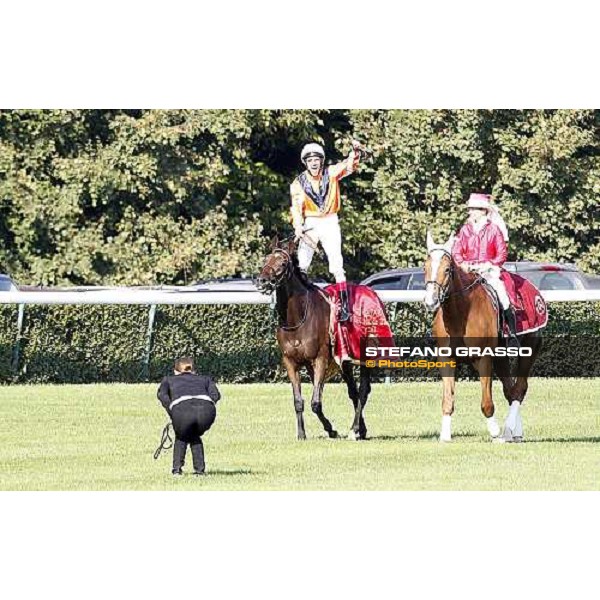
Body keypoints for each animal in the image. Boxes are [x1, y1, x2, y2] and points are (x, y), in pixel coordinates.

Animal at [256, 238, 372, 440]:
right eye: (266, 259)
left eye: (283, 263)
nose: (263, 281)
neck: (297, 319)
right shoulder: (291, 362)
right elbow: (299, 401)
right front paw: (302, 433)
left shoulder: (320, 359)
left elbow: (315, 402)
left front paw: (331, 429)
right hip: (344, 362)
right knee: (354, 392)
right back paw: (360, 429)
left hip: (363, 356)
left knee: (362, 391)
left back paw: (356, 429)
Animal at [422, 232, 544, 442]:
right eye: (425, 267)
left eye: (447, 269)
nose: (431, 301)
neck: (461, 313)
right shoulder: (446, 358)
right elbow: (448, 399)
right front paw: (445, 435)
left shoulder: (484, 358)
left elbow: (487, 401)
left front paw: (494, 432)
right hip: (501, 358)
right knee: (511, 390)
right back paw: (514, 432)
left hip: (529, 349)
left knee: (519, 388)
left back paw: (508, 430)